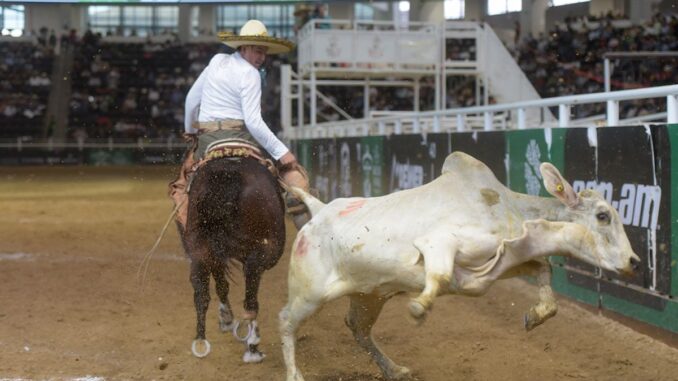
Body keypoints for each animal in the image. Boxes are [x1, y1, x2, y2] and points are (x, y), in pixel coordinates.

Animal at [179, 155, 286, 362]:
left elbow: (221, 285)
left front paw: (226, 318)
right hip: (264, 253)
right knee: (251, 293)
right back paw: (252, 345)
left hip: (200, 248)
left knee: (201, 292)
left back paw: (201, 340)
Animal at [280, 150, 644, 378]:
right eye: (603, 215)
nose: (634, 261)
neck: (506, 209)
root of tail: (319, 210)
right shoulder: (438, 243)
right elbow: (439, 275)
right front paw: (420, 307)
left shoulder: (505, 261)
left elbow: (543, 268)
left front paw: (535, 315)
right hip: (309, 292)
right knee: (285, 320)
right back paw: (295, 374)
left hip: (368, 295)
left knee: (357, 328)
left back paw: (394, 370)